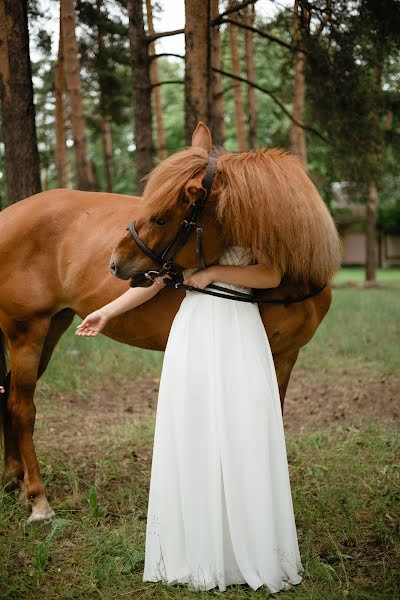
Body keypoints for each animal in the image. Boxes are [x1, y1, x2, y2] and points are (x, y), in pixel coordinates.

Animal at [0, 123, 340, 524]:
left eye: (162, 218)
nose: (115, 264)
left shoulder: (285, 355)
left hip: (52, 326)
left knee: (7, 395)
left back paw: (13, 478)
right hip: (26, 331)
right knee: (22, 407)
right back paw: (38, 500)